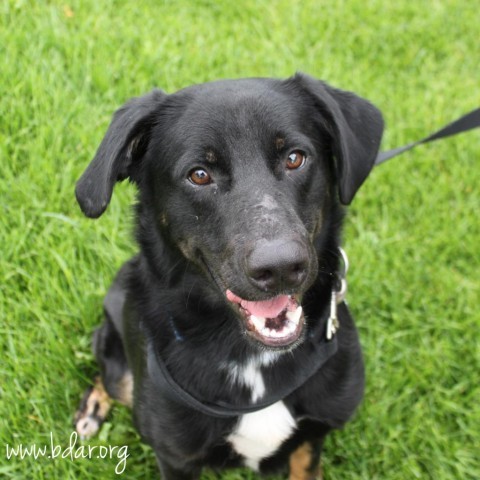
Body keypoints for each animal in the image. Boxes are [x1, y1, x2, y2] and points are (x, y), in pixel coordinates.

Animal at [74, 73, 382, 478]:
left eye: (295, 158)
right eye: (199, 175)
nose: (280, 267)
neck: (253, 359)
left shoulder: (313, 437)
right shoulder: (175, 458)